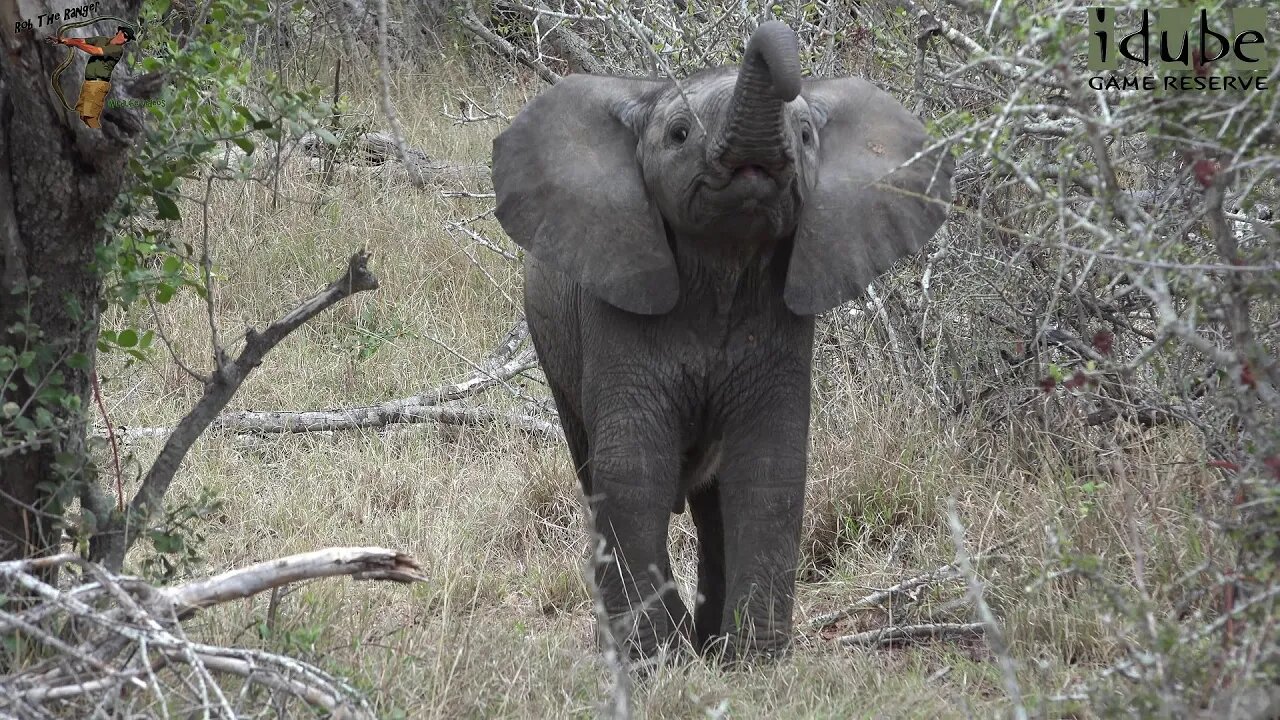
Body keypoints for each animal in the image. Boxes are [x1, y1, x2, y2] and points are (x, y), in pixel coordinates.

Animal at [488, 20, 952, 661]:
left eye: (806, 135)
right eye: (679, 134)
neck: (725, 255)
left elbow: (769, 465)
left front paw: (753, 660)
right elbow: (632, 470)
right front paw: (655, 659)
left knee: (710, 505)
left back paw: (709, 642)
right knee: (595, 472)